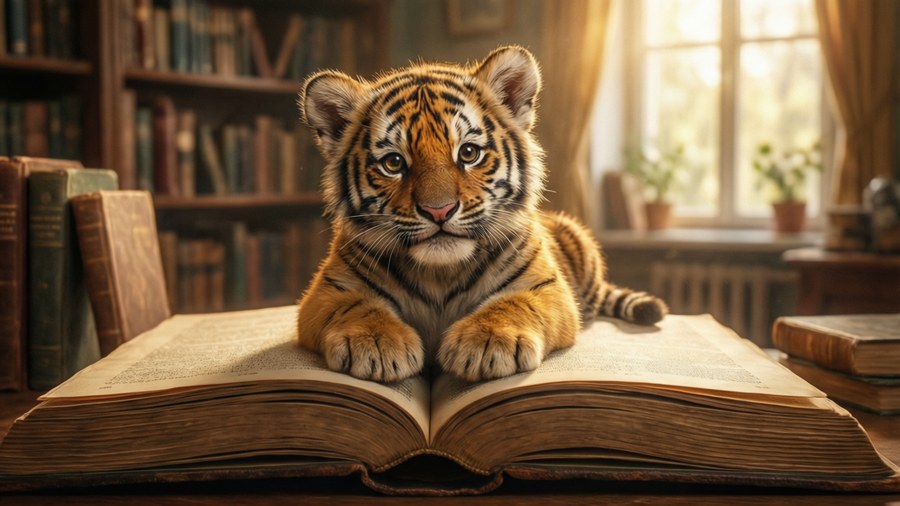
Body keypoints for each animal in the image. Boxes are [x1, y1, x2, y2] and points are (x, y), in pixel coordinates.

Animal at [296, 45, 668, 383]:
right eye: (394, 163)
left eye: (468, 153)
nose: (439, 210)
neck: (439, 274)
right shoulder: (326, 292)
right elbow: (356, 306)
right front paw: (375, 341)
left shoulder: (547, 286)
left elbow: (513, 303)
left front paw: (488, 341)